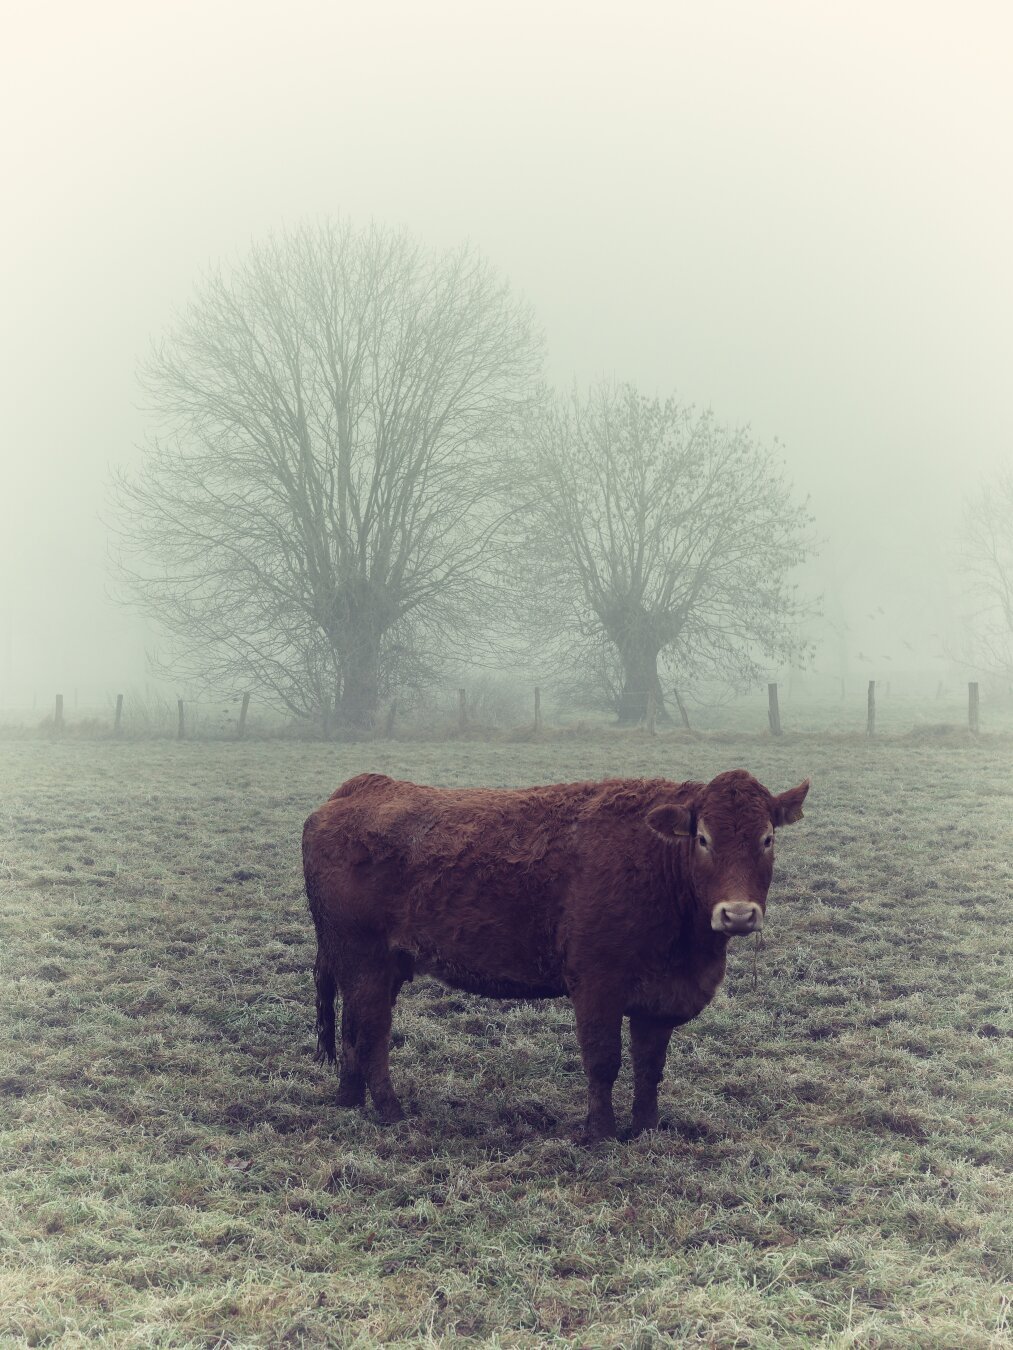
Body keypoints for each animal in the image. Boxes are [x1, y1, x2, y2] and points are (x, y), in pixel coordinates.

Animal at [305, 772, 815, 1139]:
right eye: (704, 839)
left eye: (767, 838)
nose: (737, 914)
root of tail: (357, 789)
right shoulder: (596, 983)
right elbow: (604, 1060)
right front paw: (601, 1133)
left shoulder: (659, 997)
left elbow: (650, 1066)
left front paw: (647, 1131)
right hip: (365, 961)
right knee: (371, 1033)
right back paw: (391, 1111)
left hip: (373, 966)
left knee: (352, 1029)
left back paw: (350, 1099)